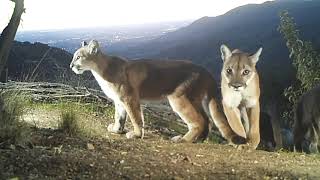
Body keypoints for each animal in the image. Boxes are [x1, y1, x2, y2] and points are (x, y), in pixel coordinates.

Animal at [70, 39, 240, 143]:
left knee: (199, 121)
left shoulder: (129, 98)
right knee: (207, 120)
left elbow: (135, 117)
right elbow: (119, 116)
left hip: (178, 98)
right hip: (194, 99)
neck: (100, 70)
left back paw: (183, 139)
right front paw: (117, 130)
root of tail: (206, 71)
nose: (71, 65)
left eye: (78, 57)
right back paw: (198, 140)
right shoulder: (119, 100)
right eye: (74, 57)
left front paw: (136, 135)